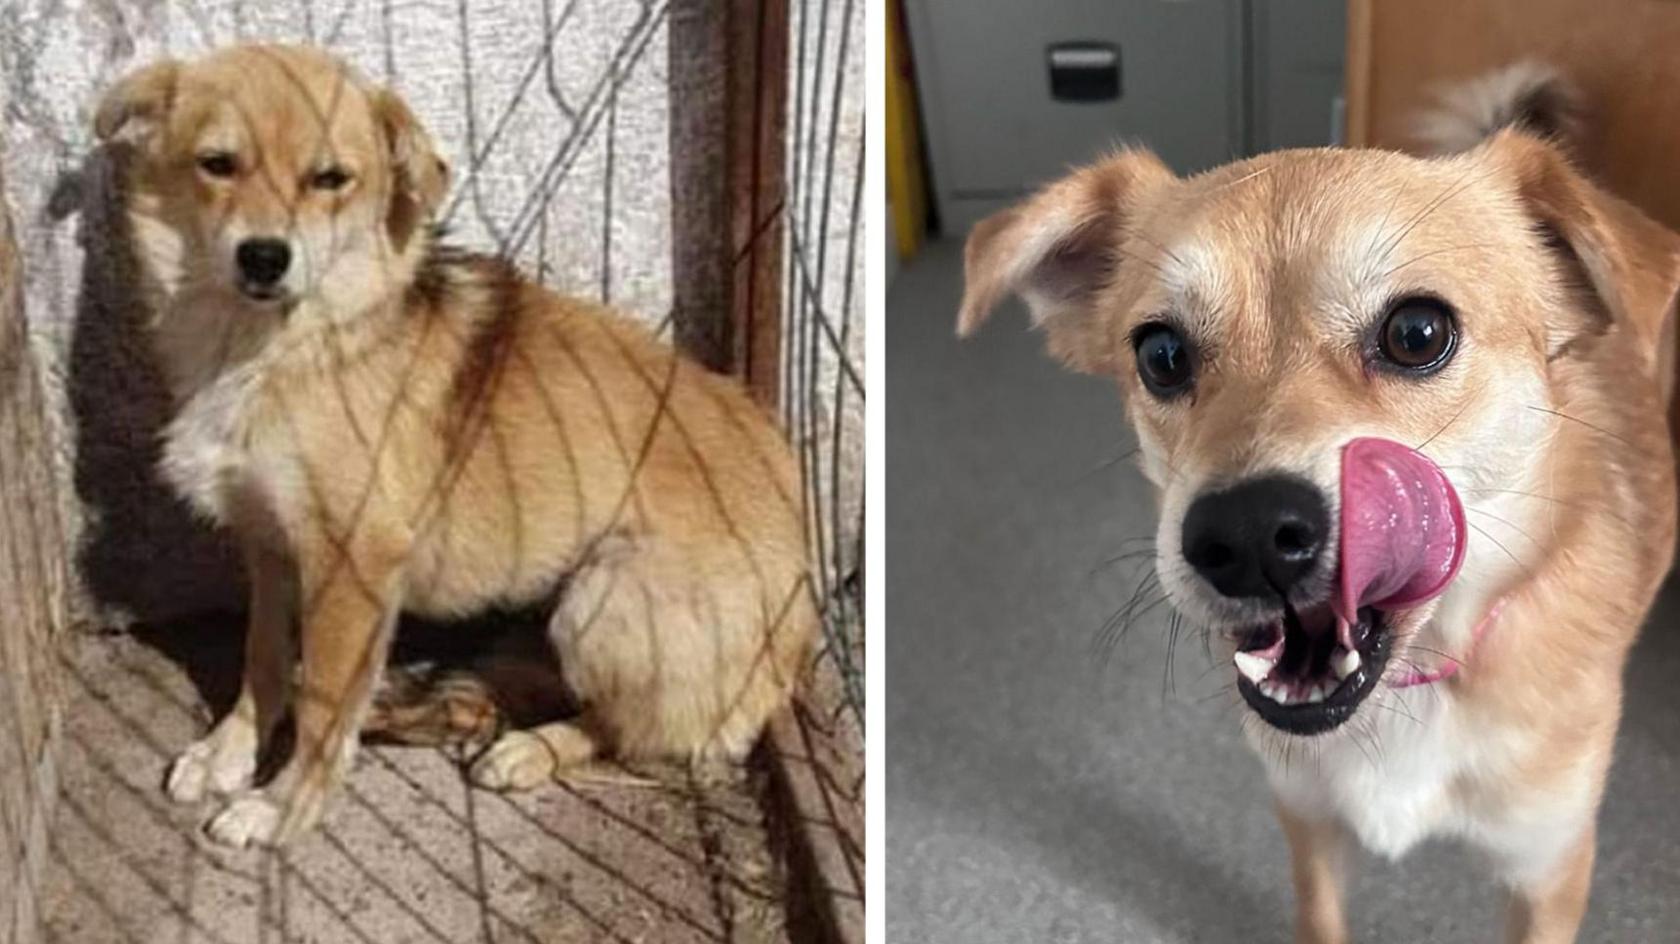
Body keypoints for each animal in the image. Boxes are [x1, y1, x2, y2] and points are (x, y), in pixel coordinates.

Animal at [91, 42, 813, 846]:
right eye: (217, 163)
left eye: (330, 179)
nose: (263, 258)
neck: (278, 346)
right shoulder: (270, 545)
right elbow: (265, 659)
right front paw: (230, 751)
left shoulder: (352, 561)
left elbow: (321, 706)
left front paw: (281, 808)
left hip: (609, 598)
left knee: (639, 729)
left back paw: (528, 748)